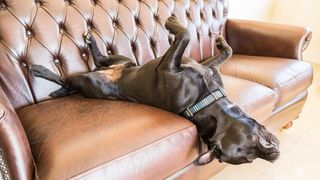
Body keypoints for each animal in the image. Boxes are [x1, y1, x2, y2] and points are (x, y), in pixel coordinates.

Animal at [30, 17, 280, 166]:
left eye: (249, 156)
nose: (273, 155)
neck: (207, 99)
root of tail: (110, 72)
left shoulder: (171, 66)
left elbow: (187, 36)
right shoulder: (200, 66)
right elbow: (219, 49)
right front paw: (219, 42)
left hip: (91, 81)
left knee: (68, 79)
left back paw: (44, 72)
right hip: (122, 59)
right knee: (95, 61)